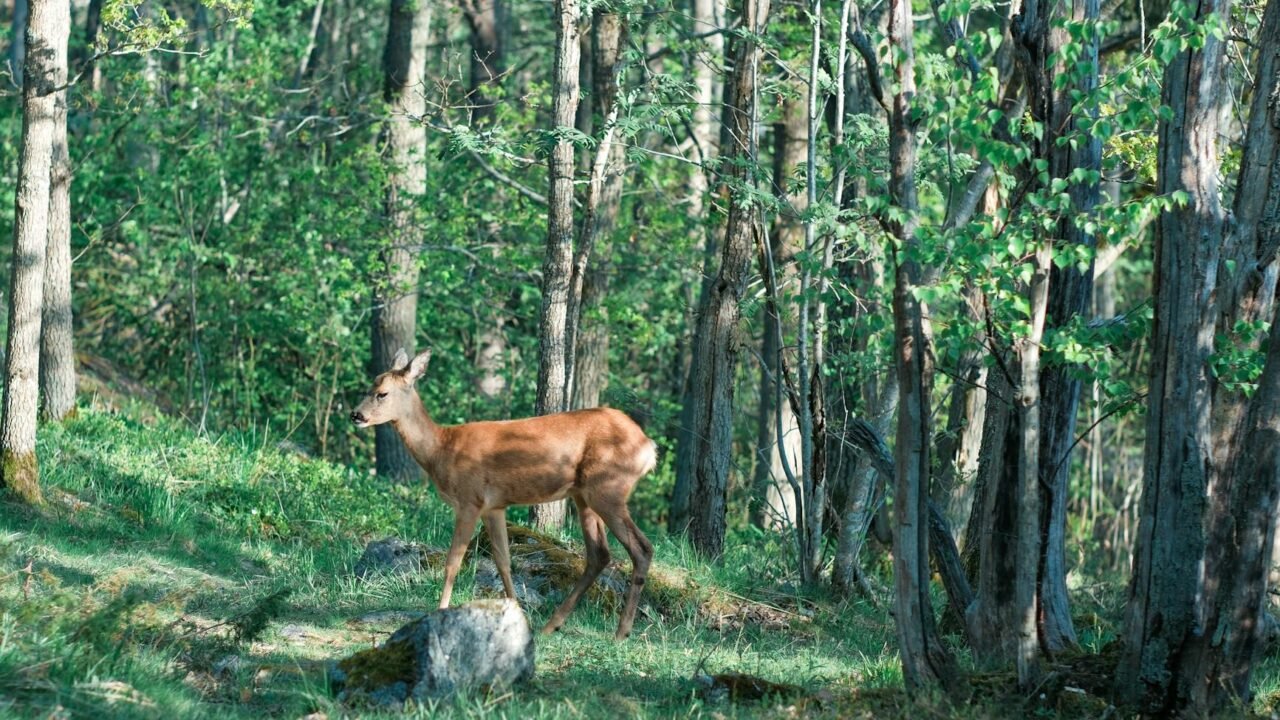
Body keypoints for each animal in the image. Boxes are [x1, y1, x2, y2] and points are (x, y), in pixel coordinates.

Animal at [350, 348, 656, 640]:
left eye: (382, 393)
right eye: (368, 387)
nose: (355, 415)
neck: (442, 449)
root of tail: (648, 447)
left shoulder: (470, 499)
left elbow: (453, 562)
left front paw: (440, 610)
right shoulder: (494, 507)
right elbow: (504, 561)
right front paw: (516, 612)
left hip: (608, 488)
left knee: (641, 548)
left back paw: (621, 632)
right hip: (585, 496)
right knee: (599, 554)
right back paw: (552, 626)